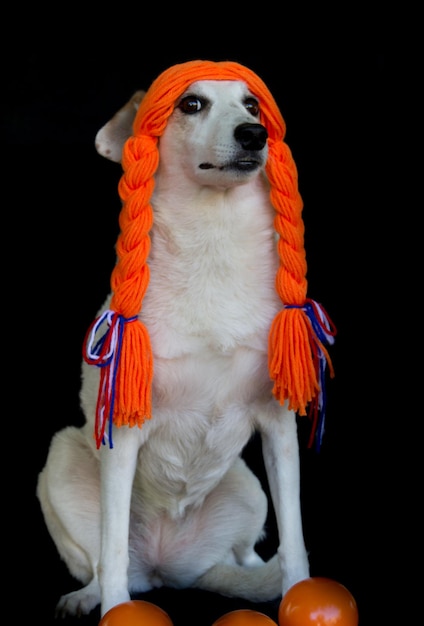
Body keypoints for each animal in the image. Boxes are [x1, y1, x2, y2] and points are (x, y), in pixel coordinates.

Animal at [37, 61, 334, 616]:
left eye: (252, 104)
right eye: (190, 104)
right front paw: (115, 610)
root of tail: (168, 566)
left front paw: (299, 593)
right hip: (61, 460)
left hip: (248, 487)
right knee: (102, 561)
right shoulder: (123, 434)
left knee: (246, 553)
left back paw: (251, 575)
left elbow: (296, 540)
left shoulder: (279, 427)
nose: (254, 134)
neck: (213, 240)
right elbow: (111, 551)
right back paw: (90, 595)